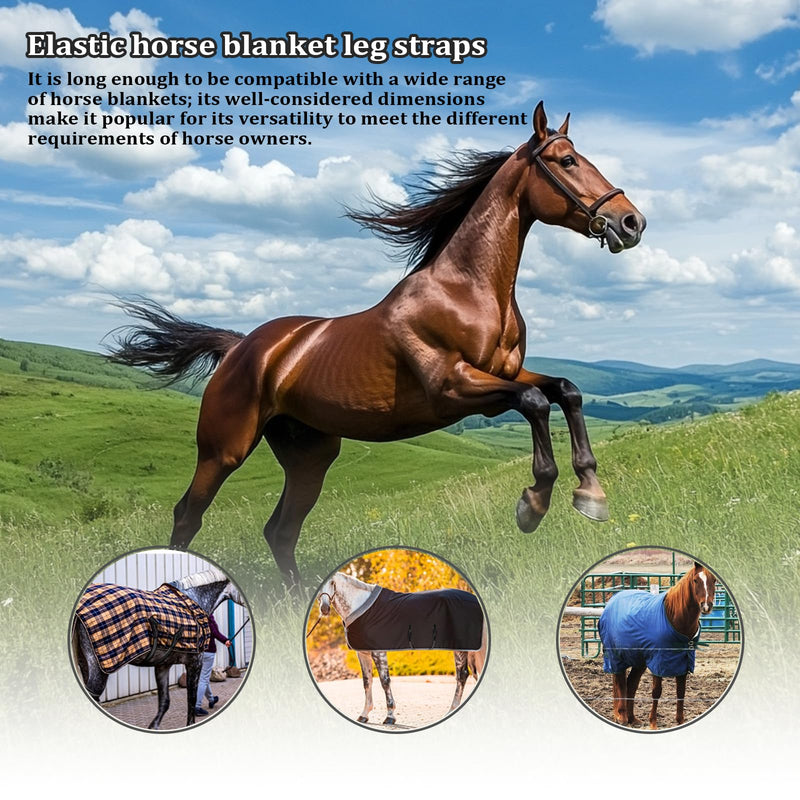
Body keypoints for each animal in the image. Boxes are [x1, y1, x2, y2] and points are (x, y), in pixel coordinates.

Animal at [72, 568, 243, 730]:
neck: (193, 600)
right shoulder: (195, 662)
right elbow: (191, 700)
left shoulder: (163, 665)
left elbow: (165, 701)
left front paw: (153, 727)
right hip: (99, 668)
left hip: (85, 663)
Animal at [108, 101, 646, 585]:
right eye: (568, 161)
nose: (632, 222)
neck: (466, 290)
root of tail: (242, 347)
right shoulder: (454, 387)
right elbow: (535, 402)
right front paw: (532, 504)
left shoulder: (504, 376)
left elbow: (566, 390)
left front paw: (591, 493)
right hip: (223, 450)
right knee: (188, 516)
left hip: (311, 457)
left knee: (280, 530)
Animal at [310, 572, 488, 726]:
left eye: (332, 583)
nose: (324, 609)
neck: (359, 604)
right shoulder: (363, 653)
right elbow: (367, 682)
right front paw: (364, 714)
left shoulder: (378, 651)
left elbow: (384, 681)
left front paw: (390, 716)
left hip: (461, 648)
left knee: (462, 675)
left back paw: (451, 710)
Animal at [597, 562, 717, 729]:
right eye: (695, 580)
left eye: (714, 580)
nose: (706, 606)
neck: (674, 618)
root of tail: (611, 602)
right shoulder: (658, 662)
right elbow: (656, 692)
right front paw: (653, 723)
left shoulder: (683, 662)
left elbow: (681, 692)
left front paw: (680, 721)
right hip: (616, 657)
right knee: (619, 682)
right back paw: (621, 717)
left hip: (639, 661)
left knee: (631, 684)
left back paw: (632, 718)